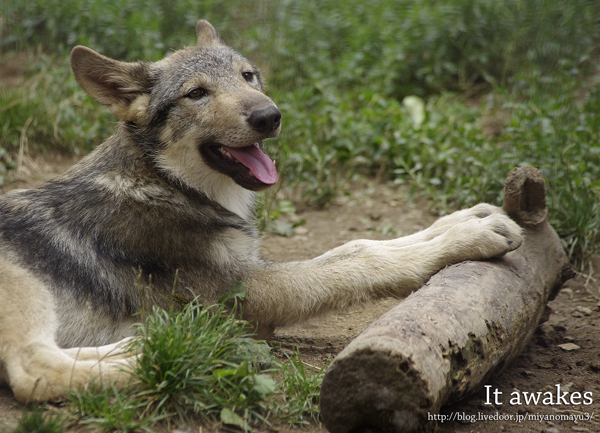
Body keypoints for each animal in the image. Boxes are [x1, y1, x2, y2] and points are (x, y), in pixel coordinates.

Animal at [0, 18, 524, 400]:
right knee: (33, 372)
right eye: (197, 93)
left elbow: (361, 243)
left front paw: (465, 220)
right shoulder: (249, 291)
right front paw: (466, 239)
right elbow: (358, 258)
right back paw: (194, 349)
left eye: (247, 76)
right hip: (25, 284)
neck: (167, 184)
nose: (269, 116)